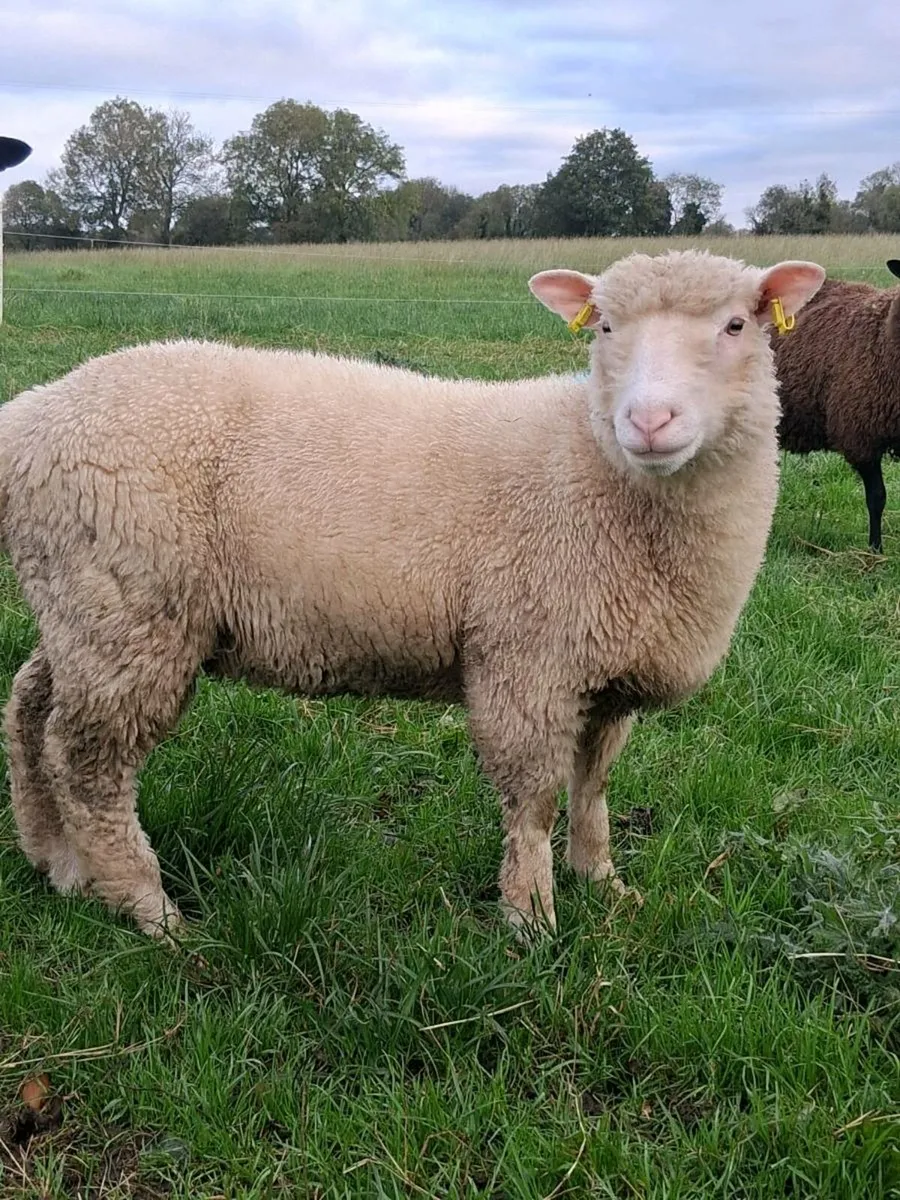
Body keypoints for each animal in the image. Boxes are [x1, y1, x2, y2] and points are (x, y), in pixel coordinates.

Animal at [0, 249, 825, 939]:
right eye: (606, 329)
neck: (595, 468)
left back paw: (57, 862)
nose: (650, 421)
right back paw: (149, 909)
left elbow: (592, 788)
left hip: (83, 603)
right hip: (131, 612)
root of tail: (33, 414)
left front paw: (603, 883)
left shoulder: (606, 672)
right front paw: (532, 920)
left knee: (30, 707)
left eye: (737, 325)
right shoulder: (527, 661)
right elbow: (534, 802)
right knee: (89, 762)